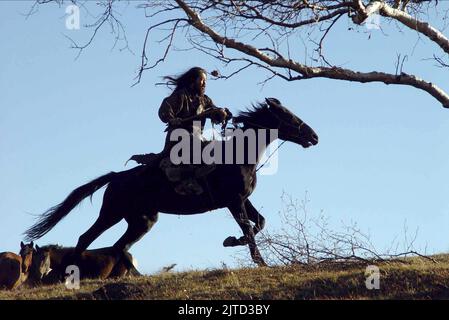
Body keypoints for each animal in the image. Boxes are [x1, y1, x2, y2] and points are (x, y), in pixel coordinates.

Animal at [25, 97, 318, 264]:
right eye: (287, 115)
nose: (314, 137)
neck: (239, 156)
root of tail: (116, 178)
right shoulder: (233, 202)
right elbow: (248, 229)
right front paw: (256, 259)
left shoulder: (243, 200)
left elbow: (259, 223)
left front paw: (233, 242)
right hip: (112, 212)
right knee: (86, 237)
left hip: (142, 220)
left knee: (119, 247)